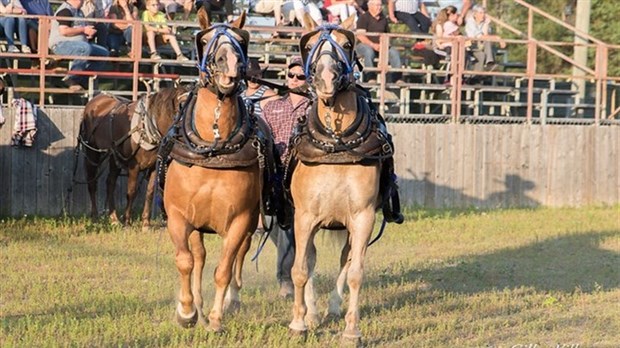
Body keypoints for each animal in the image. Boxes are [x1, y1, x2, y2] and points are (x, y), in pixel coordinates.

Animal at [78, 86, 188, 228]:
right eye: (182, 105)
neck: (146, 128)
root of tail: (94, 101)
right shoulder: (133, 166)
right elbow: (131, 192)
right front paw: (127, 222)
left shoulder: (153, 167)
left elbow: (149, 192)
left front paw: (145, 223)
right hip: (92, 152)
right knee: (92, 183)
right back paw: (95, 217)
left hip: (115, 157)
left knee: (110, 183)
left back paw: (114, 219)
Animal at [160, 8, 276, 332]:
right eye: (206, 40)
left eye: (240, 40)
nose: (229, 63)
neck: (214, 149)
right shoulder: (179, 216)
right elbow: (185, 260)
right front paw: (187, 311)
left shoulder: (240, 219)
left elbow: (224, 268)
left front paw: (215, 317)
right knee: (198, 256)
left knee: (239, 255)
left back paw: (229, 301)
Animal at [286, 14, 402, 342]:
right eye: (309, 45)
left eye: (348, 45)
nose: (326, 77)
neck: (336, 144)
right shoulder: (304, 217)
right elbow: (300, 269)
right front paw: (299, 323)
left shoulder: (363, 217)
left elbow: (355, 273)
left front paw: (352, 330)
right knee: (309, 259)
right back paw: (312, 313)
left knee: (346, 259)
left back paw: (334, 307)